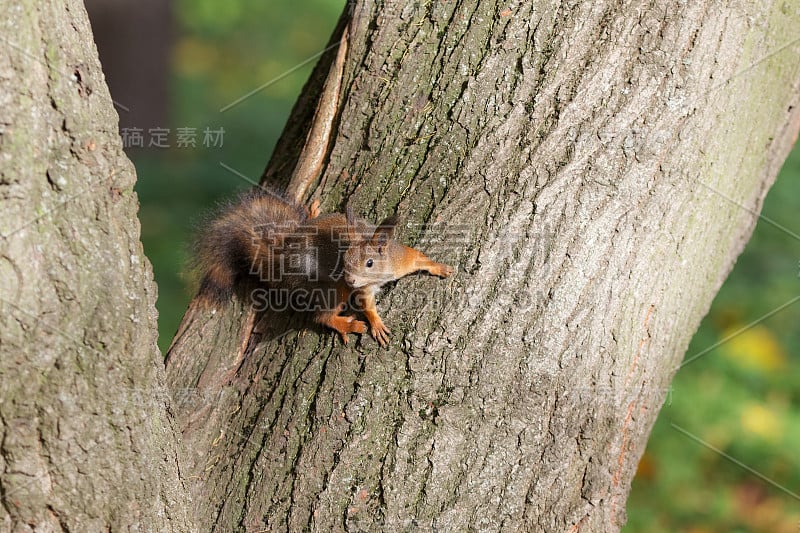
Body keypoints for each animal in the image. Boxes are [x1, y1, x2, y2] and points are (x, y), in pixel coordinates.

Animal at [195, 187, 454, 344]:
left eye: (369, 262)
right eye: (343, 259)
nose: (349, 279)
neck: (380, 273)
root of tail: (281, 261)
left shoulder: (400, 259)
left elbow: (417, 257)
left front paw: (439, 267)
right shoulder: (361, 289)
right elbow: (366, 304)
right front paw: (376, 323)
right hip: (331, 289)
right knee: (322, 317)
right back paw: (348, 325)